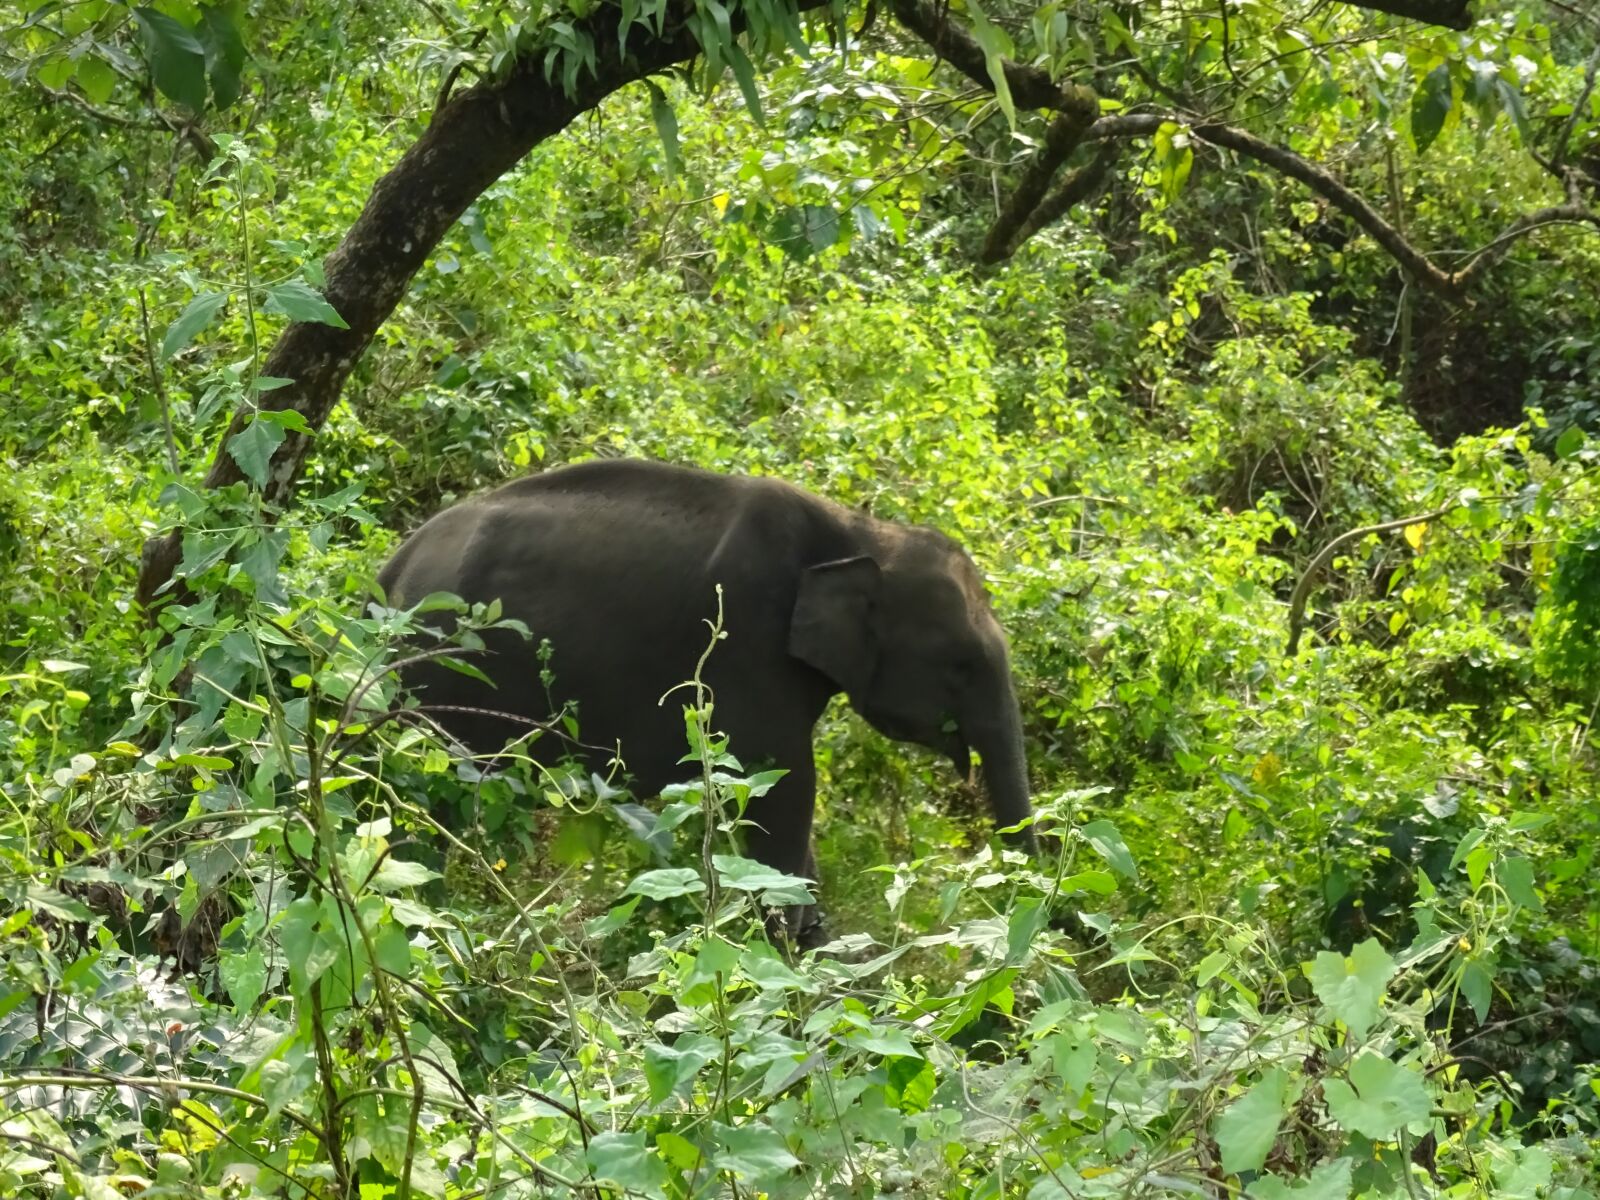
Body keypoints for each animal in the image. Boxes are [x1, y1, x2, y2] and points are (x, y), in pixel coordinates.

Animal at [377, 459, 1036, 940]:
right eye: (961, 665)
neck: (860, 531)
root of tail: (390, 570)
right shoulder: (743, 639)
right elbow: (783, 783)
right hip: (436, 671)